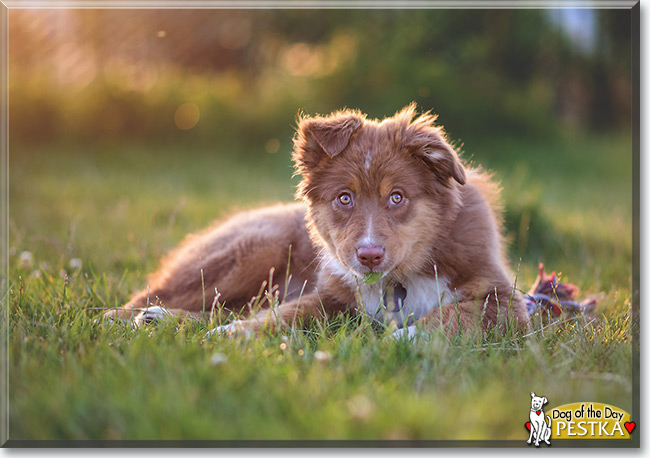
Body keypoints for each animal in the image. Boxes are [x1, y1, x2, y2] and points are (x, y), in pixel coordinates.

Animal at [101, 105, 528, 338]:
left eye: (397, 197)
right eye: (344, 198)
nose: (369, 256)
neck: (404, 274)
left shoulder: (506, 302)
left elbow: (452, 315)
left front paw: (402, 339)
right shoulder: (331, 295)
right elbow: (281, 316)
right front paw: (233, 337)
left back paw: (160, 320)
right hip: (251, 251)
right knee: (152, 298)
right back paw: (134, 318)